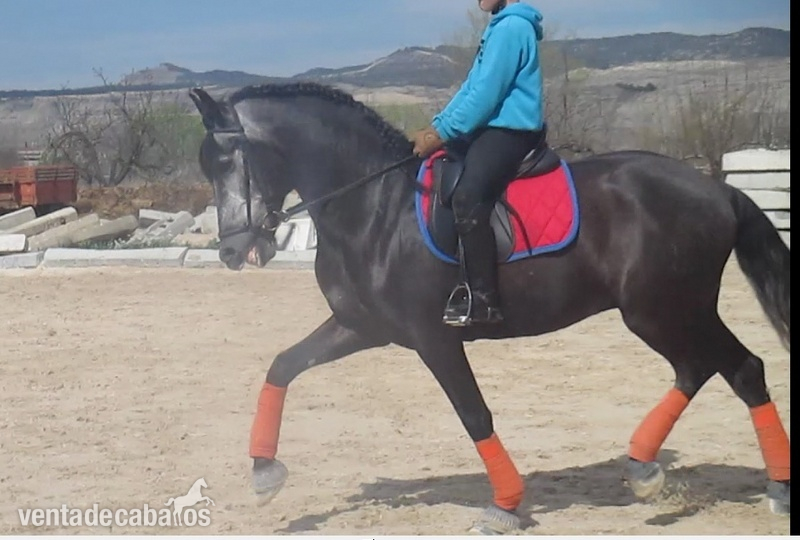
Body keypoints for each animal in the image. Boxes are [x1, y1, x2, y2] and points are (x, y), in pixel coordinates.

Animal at [188, 82, 790, 533]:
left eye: (230, 160)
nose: (232, 252)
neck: (374, 207)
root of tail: (718, 191)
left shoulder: (434, 338)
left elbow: (474, 414)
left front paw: (504, 507)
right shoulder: (360, 327)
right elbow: (283, 366)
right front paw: (264, 474)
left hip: (662, 310)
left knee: (739, 368)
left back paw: (773, 489)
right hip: (671, 312)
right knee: (707, 368)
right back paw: (645, 468)